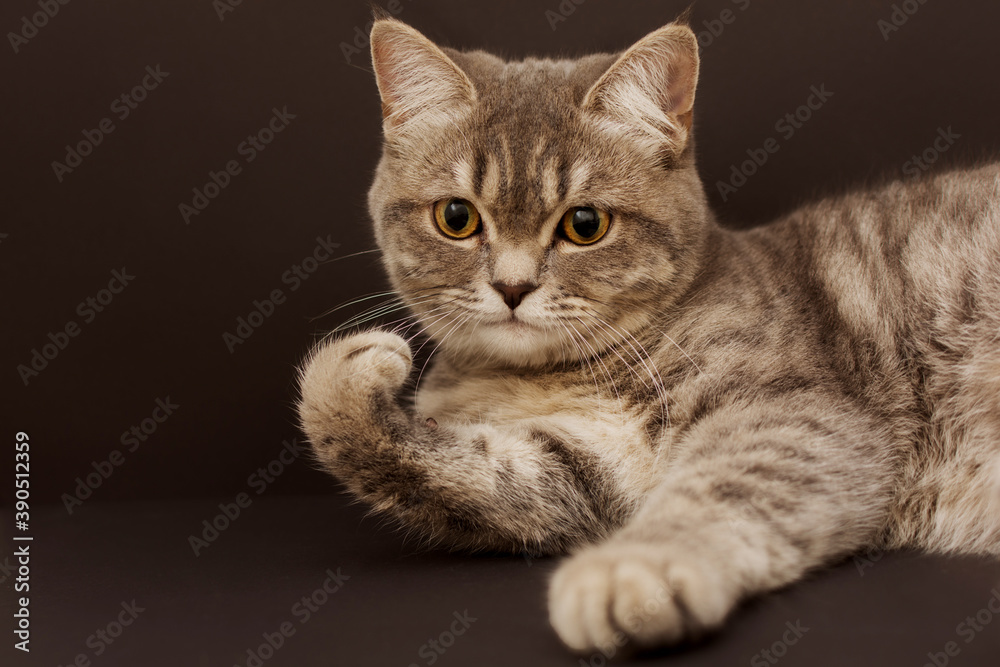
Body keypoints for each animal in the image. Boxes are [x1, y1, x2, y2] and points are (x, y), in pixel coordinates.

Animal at [296, 13, 1000, 656]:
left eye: (584, 224)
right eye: (456, 217)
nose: (513, 287)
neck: (549, 375)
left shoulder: (799, 414)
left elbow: (723, 484)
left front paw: (632, 570)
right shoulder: (587, 472)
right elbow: (480, 478)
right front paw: (341, 379)